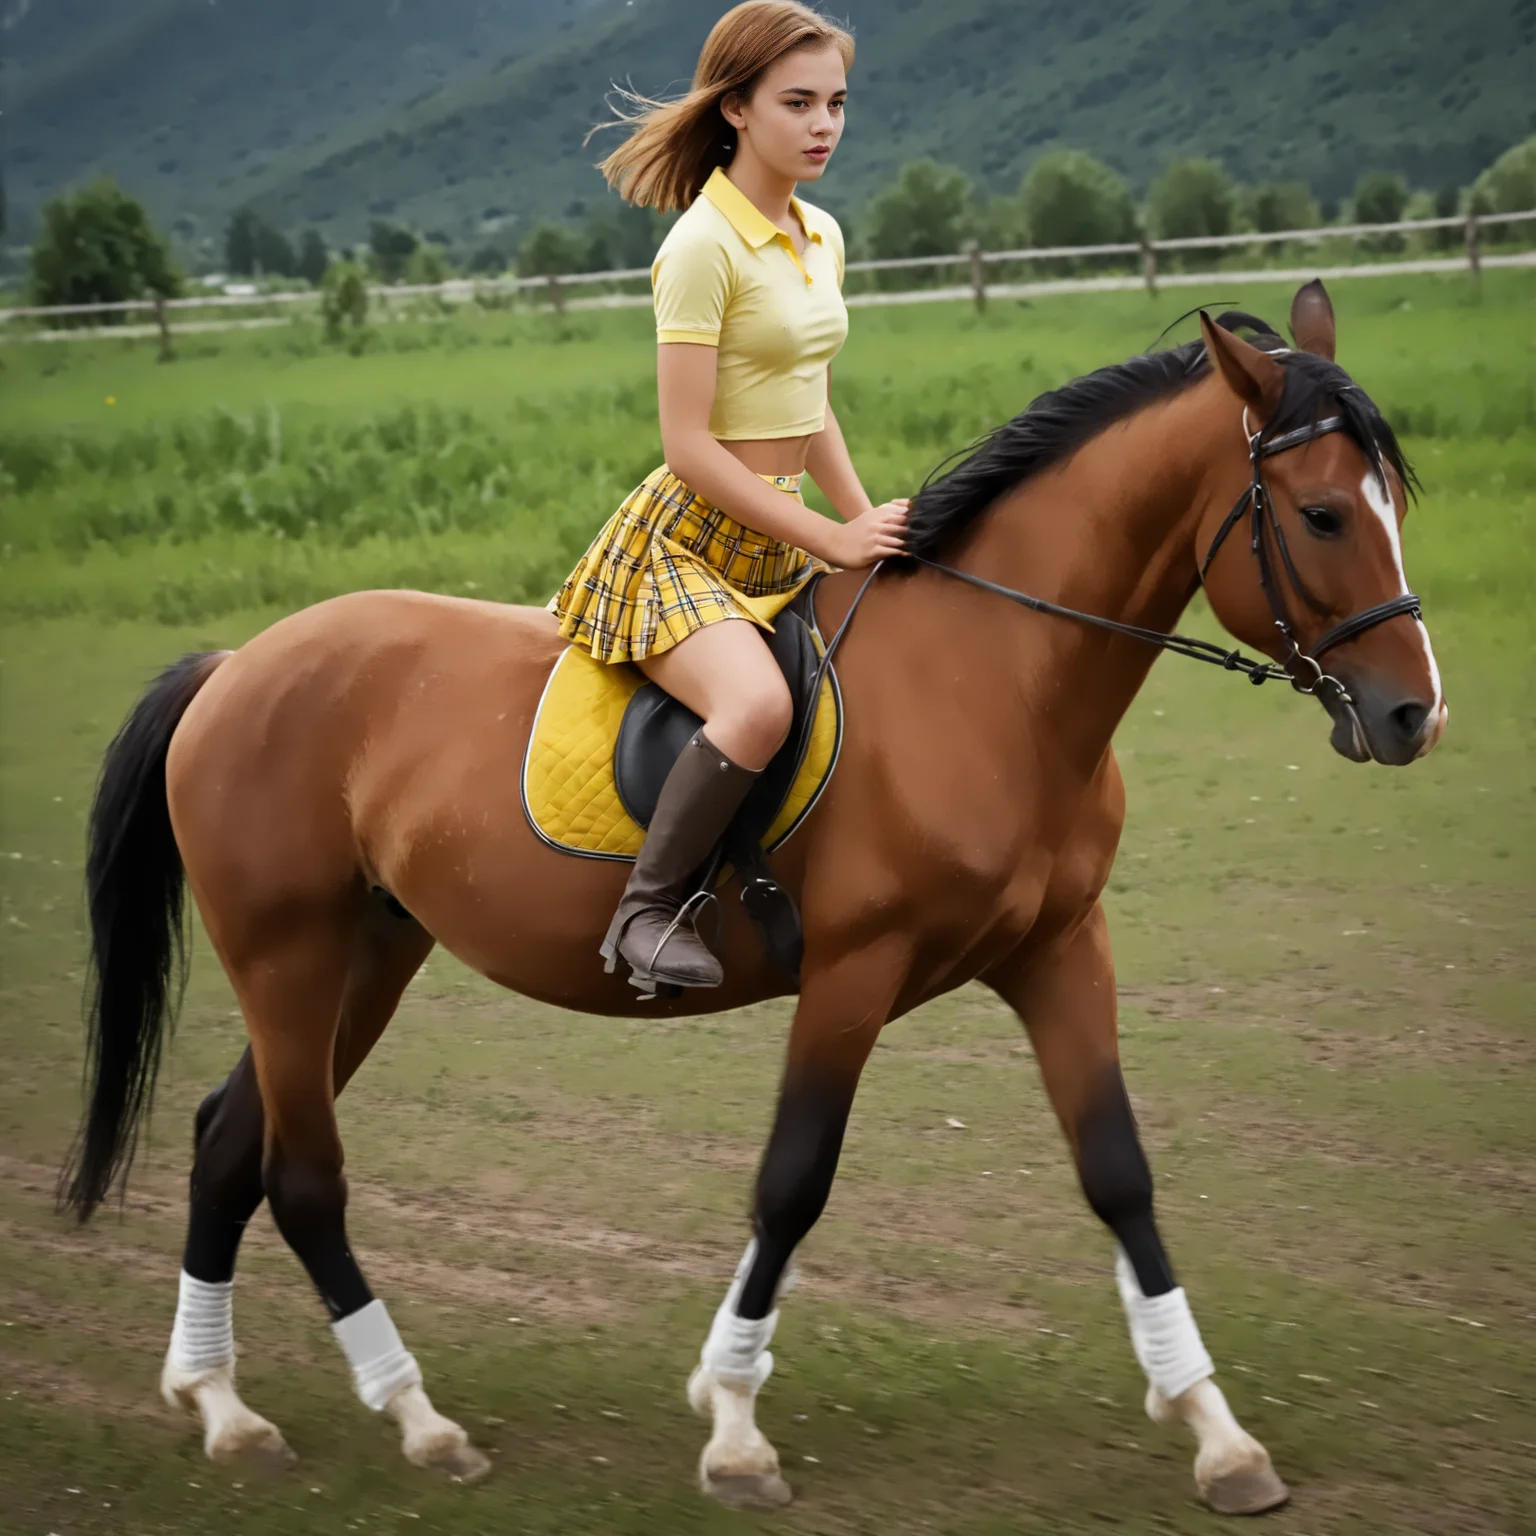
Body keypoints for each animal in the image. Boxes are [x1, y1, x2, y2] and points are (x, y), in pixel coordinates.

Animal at [60, 283, 1444, 1517]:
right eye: (1323, 515)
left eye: (1392, 506)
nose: (1413, 716)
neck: (992, 677)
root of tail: (238, 664)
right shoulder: (854, 970)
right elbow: (793, 1183)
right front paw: (732, 1432)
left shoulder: (1060, 949)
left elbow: (1119, 1176)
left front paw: (1218, 1435)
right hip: (286, 957)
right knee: (301, 1174)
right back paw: (416, 1421)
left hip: (362, 959)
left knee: (230, 1143)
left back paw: (223, 1408)